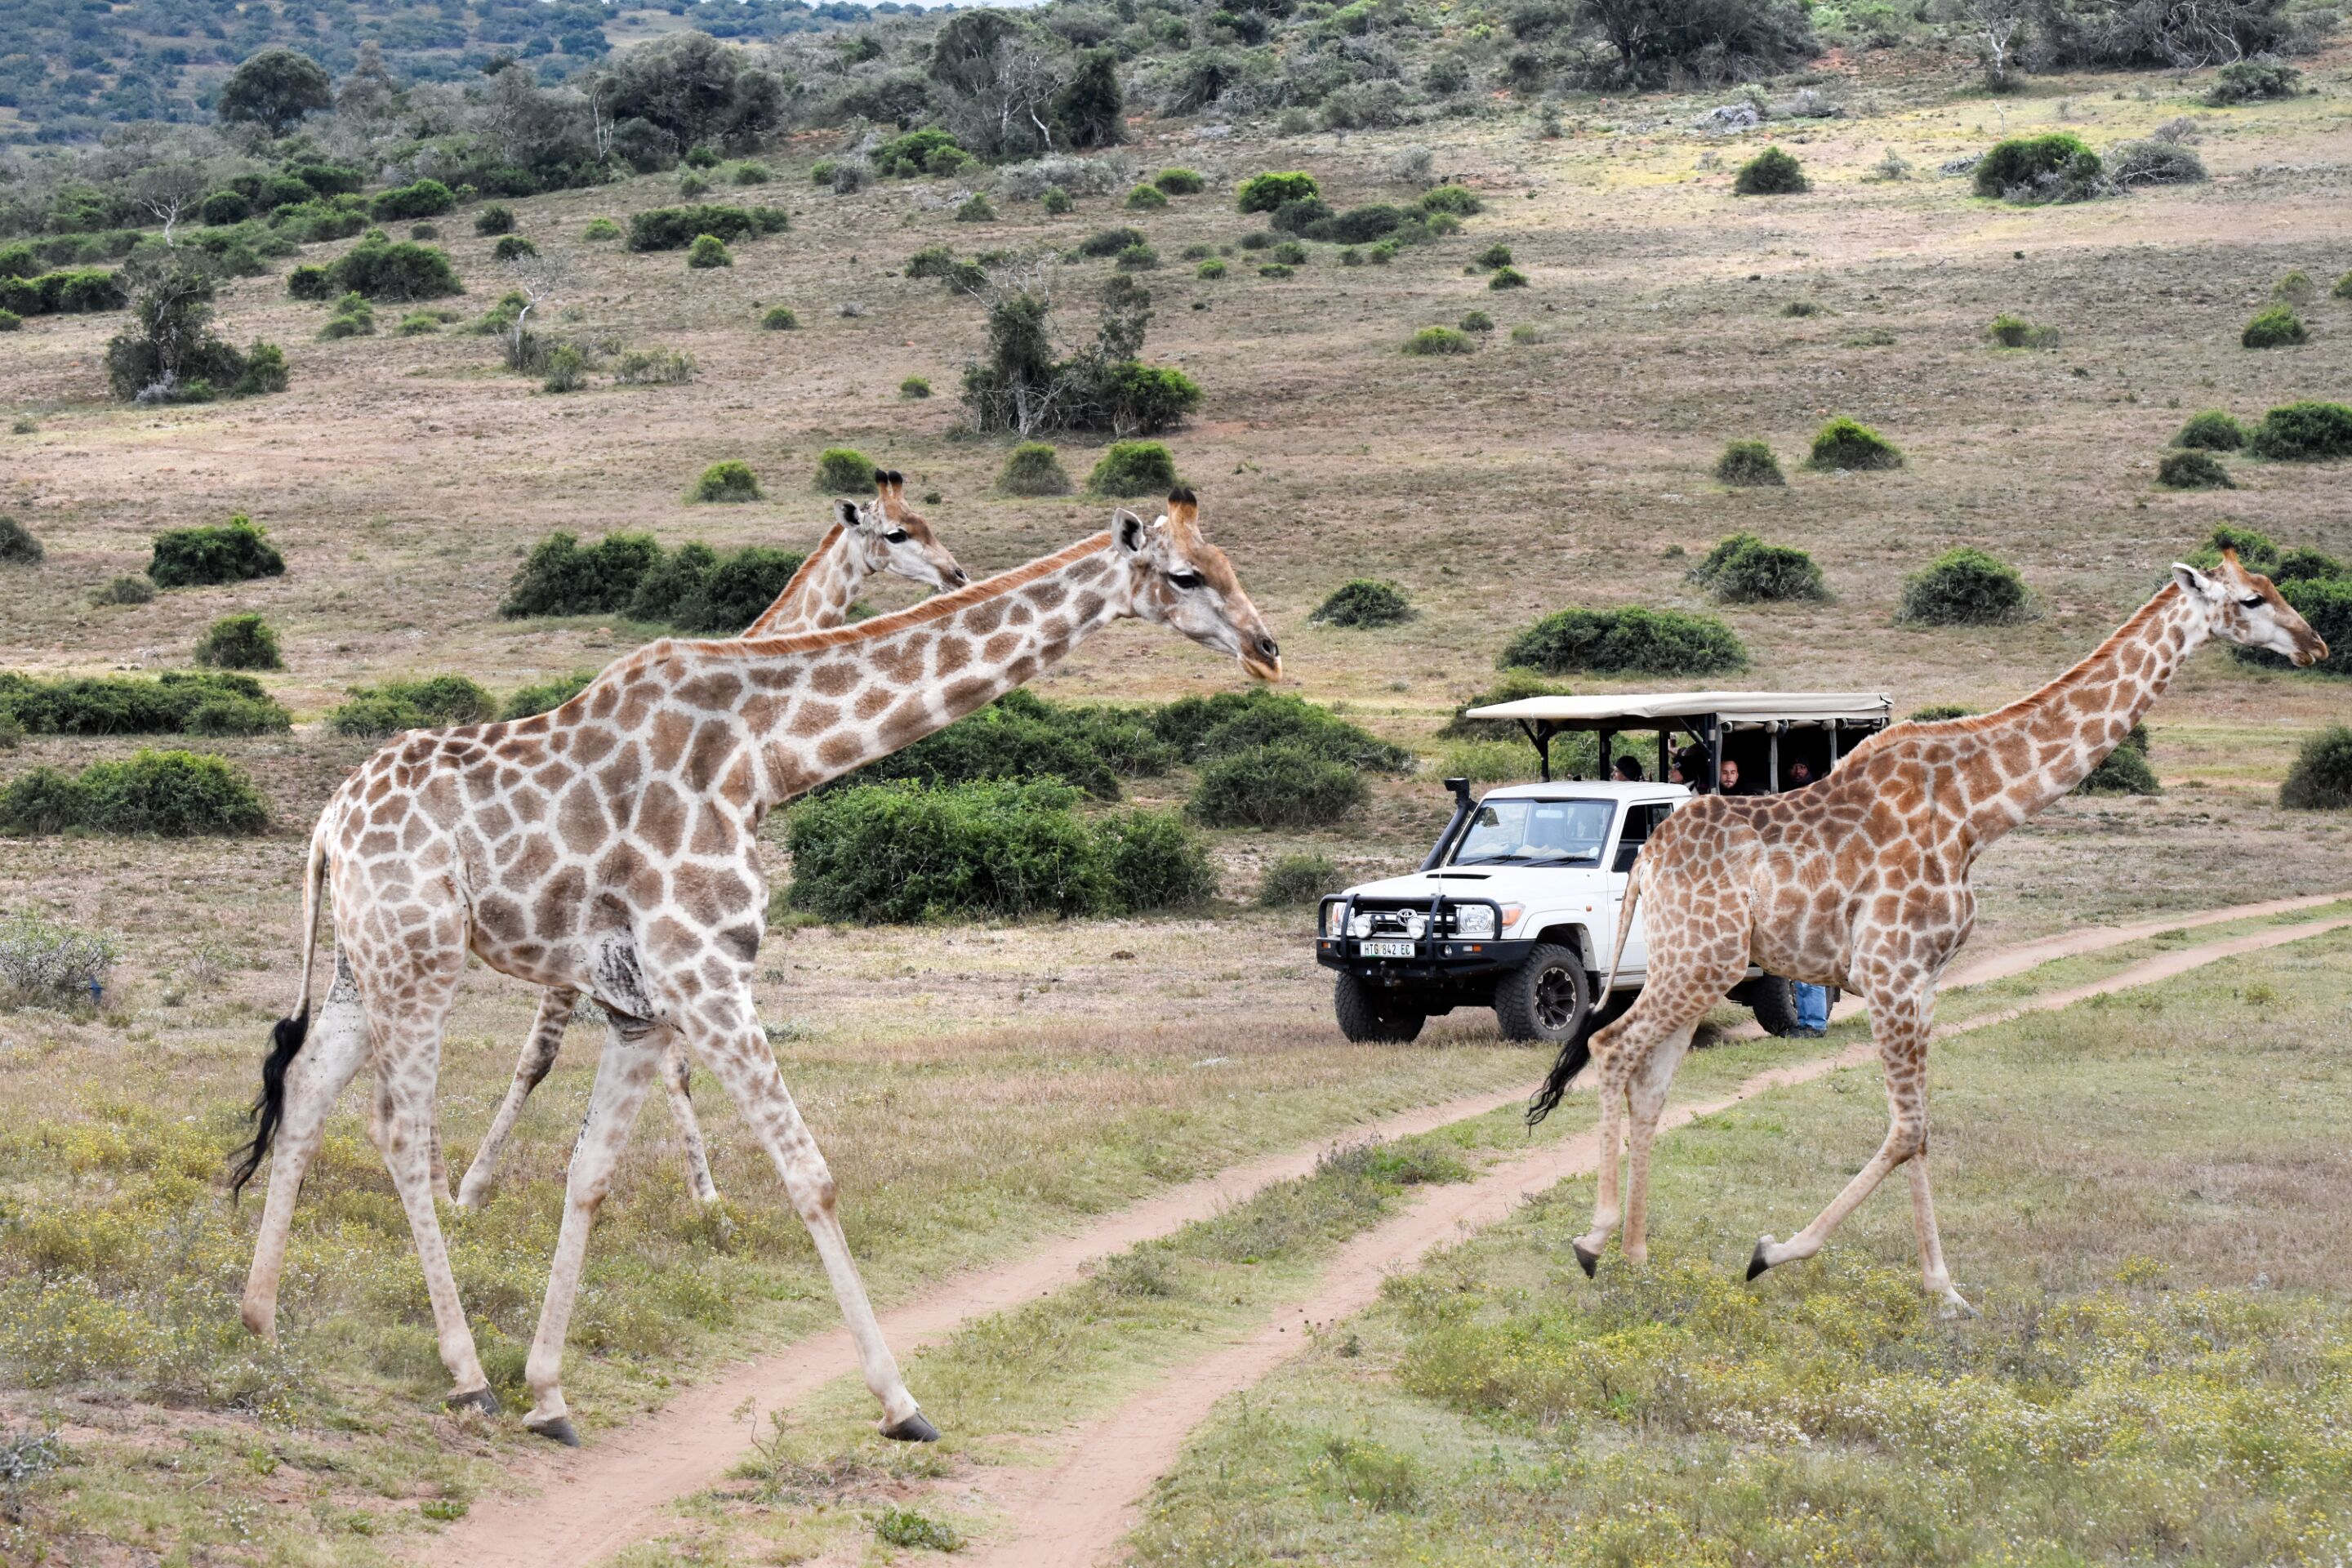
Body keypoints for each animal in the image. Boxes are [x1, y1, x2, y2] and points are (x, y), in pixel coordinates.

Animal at [451, 471, 967, 1211]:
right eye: (896, 533)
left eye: (927, 520)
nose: (956, 573)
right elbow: (553, 1058)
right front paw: (472, 1190)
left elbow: (674, 1065)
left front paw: (706, 1197)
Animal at [1528, 551, 2326, 1315]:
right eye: (2252, 599)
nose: (2314, 643)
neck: (1977, 810)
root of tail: (1647, 857)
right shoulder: (1889, 971)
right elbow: (1909, 1128)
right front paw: (1776, 1253)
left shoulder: (1926, 980)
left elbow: (1919, 1131)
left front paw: (1943, 1291)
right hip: (1697, 961)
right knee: (1611, 1046)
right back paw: (1595, 1242)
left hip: (1697, 964)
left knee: (1651, 1082)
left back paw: (1638, 1261)